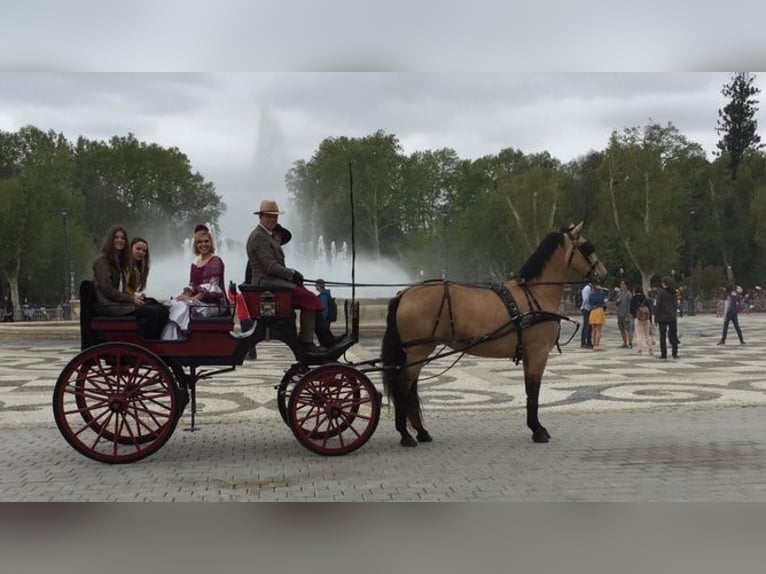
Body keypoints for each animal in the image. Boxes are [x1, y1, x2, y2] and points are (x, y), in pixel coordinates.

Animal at [380, 223, 608, 448]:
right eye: (588, 247)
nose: (603, 274)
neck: (535, 293)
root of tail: (405, 293)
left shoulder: (529, 355)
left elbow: (529, 390)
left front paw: (534, 426)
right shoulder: (538, 353)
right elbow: (534, 391)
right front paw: (538, 430)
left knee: (410, 388)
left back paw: (421, 432)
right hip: (418, 352)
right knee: (403, 388)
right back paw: (405, 435)